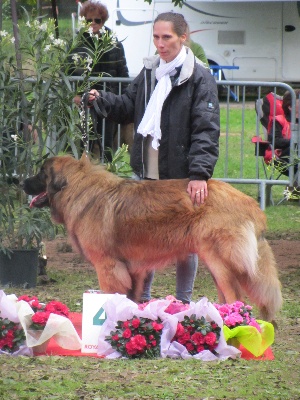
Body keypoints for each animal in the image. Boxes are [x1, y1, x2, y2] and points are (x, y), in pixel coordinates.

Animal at [22, 155, 282, 320]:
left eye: (41, 174)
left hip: (218, 258)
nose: (20, 181)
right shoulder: (133, 268)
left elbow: (110, 296)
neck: (77, 189)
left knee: (235, 296)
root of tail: (252, 205)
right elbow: (131, 297)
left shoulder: (107, 265)